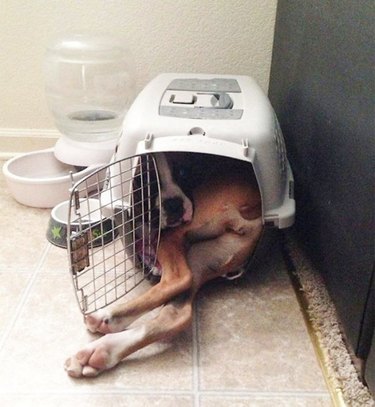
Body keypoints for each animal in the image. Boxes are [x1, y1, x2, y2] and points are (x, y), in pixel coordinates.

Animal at [65, 153, 264, 380]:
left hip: (174, 237)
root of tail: (250, 212)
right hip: (204, 258)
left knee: (177, 279)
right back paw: (105, 346)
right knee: (177, 313)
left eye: (184, 172)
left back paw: (104, 324)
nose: (174, 204)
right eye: (147, 180)